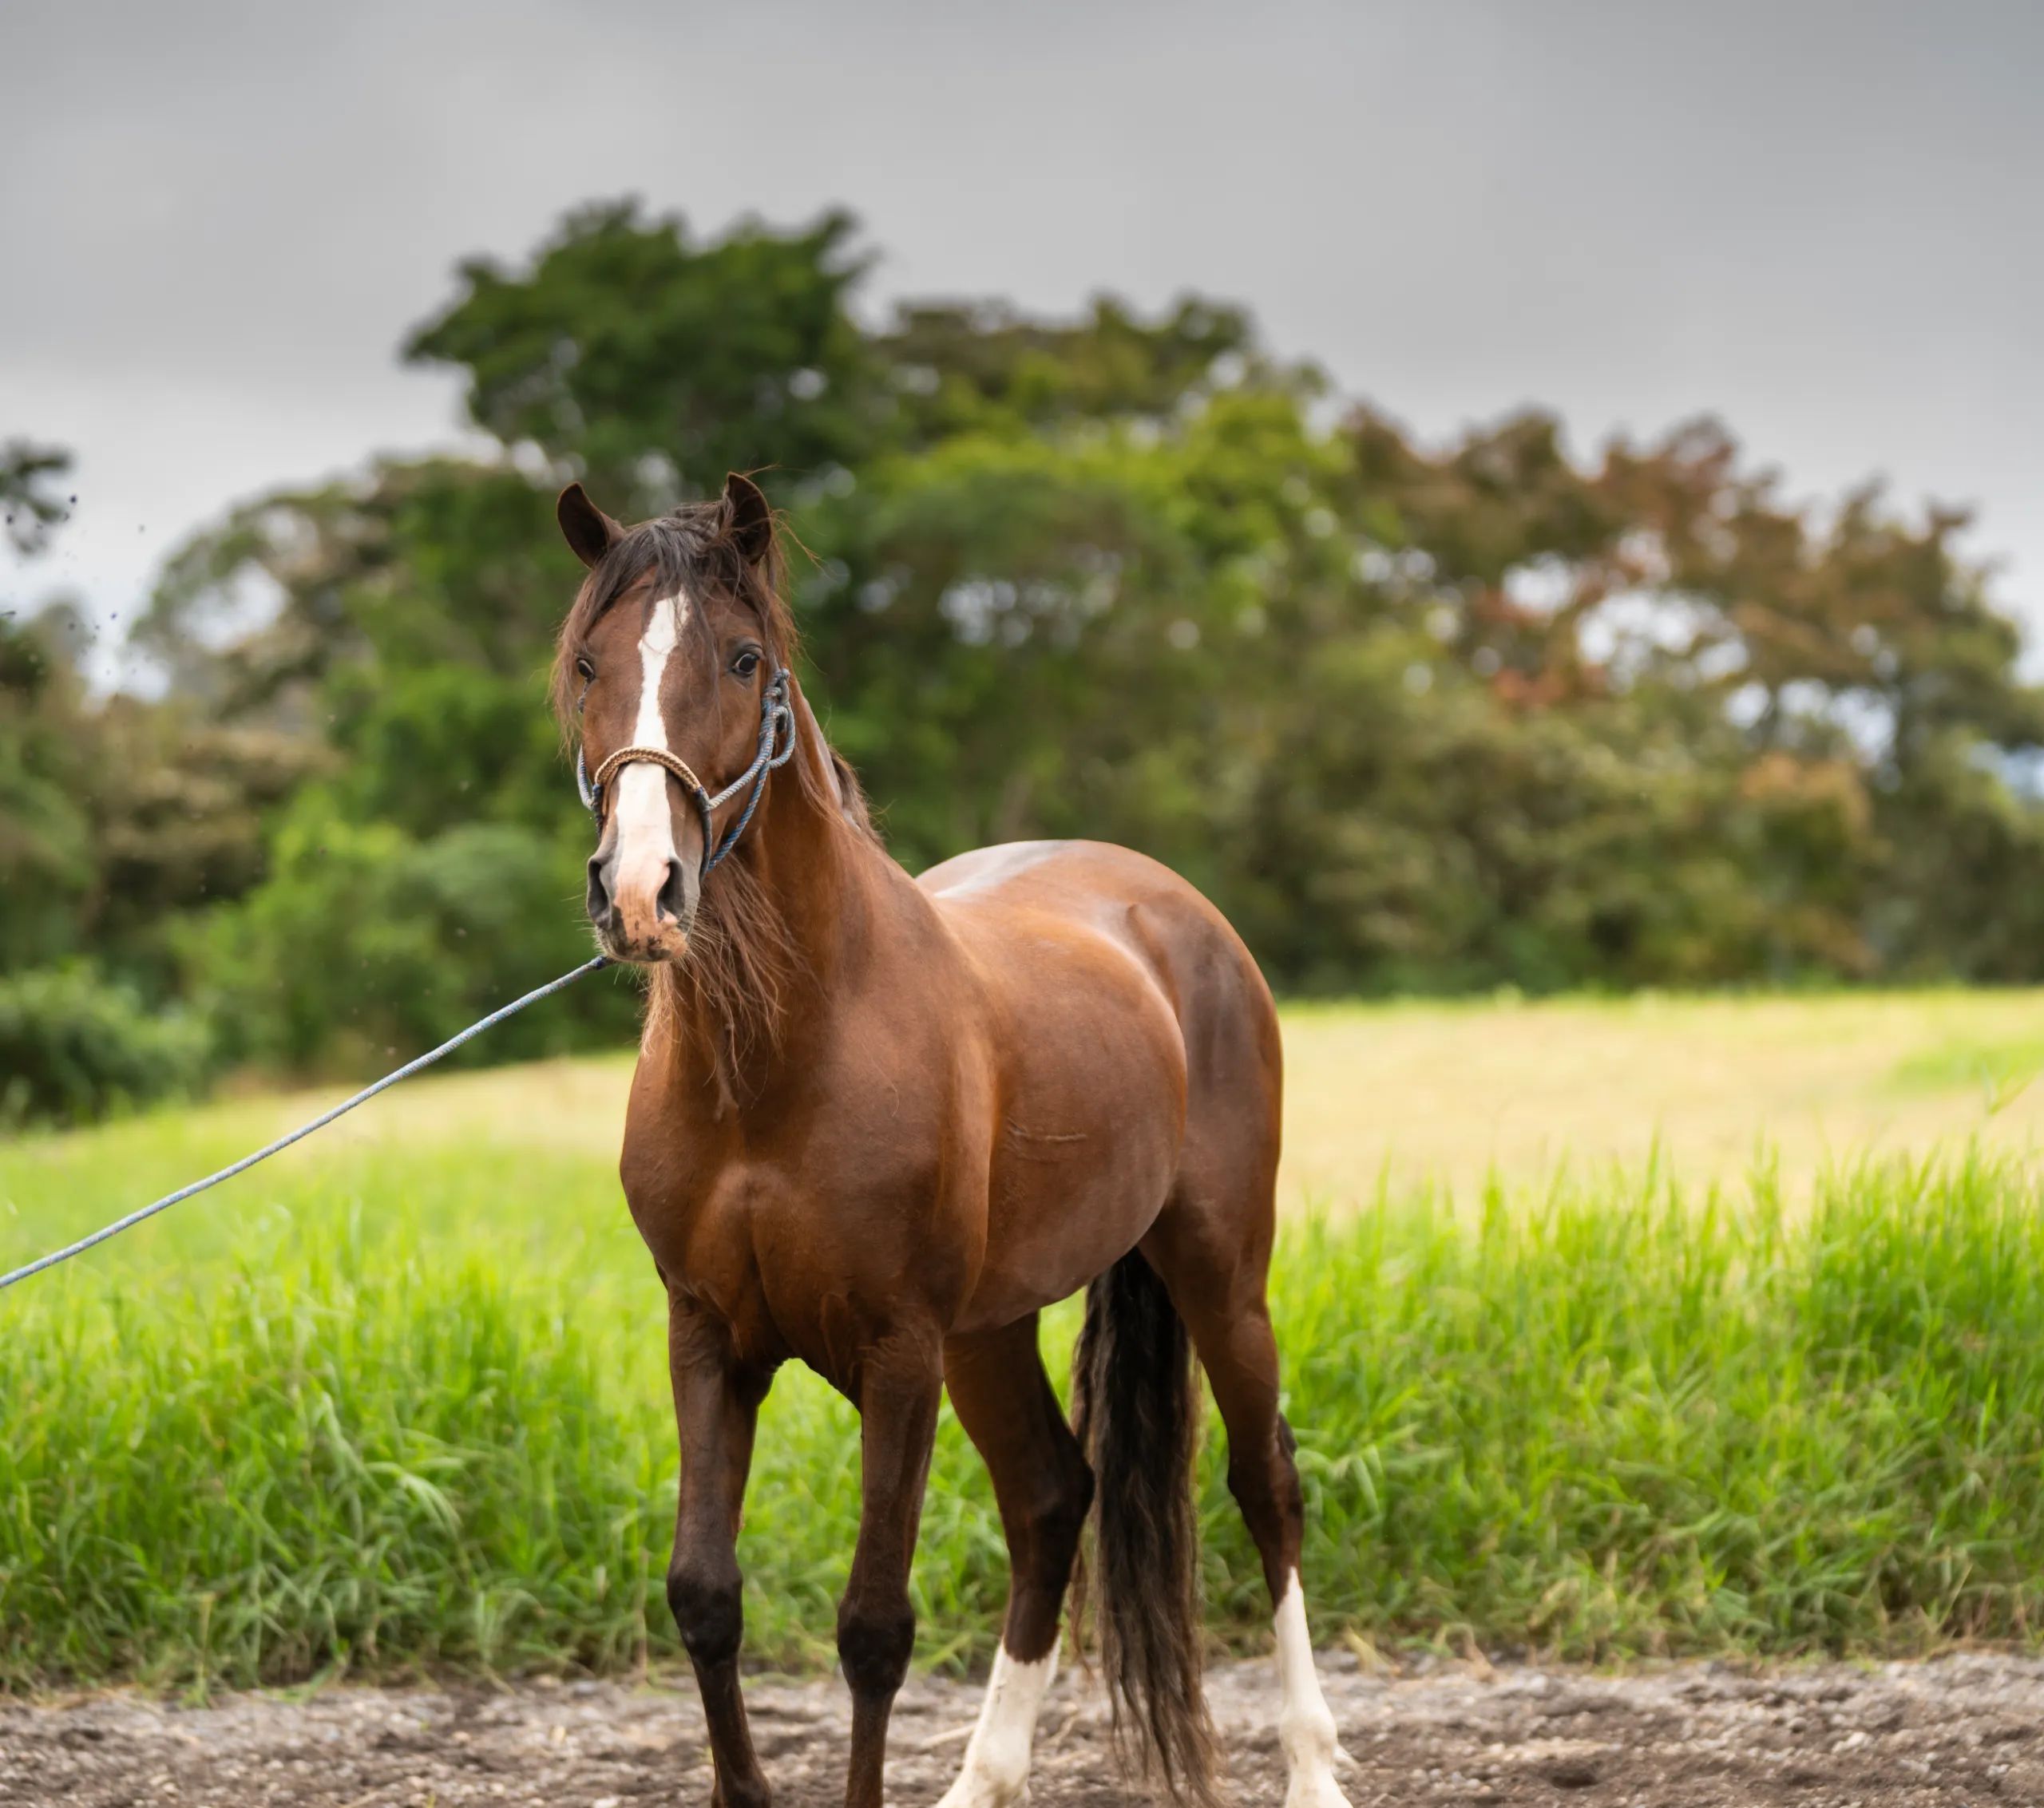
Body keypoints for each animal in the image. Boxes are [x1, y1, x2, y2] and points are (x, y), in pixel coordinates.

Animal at [553, 472, 1351, 1808]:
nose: (641, 893)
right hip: (992, 1331)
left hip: (1218, 1271)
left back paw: (1313, 1768)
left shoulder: (896, 1351)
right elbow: (704, 1595)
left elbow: (874, 1625)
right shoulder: (707, 1335)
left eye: (744, 657)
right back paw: (987, 1779)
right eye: (586, 663)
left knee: (1266, 1482)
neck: (775, 1066)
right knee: (1053, 1498)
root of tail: (1167, 905)